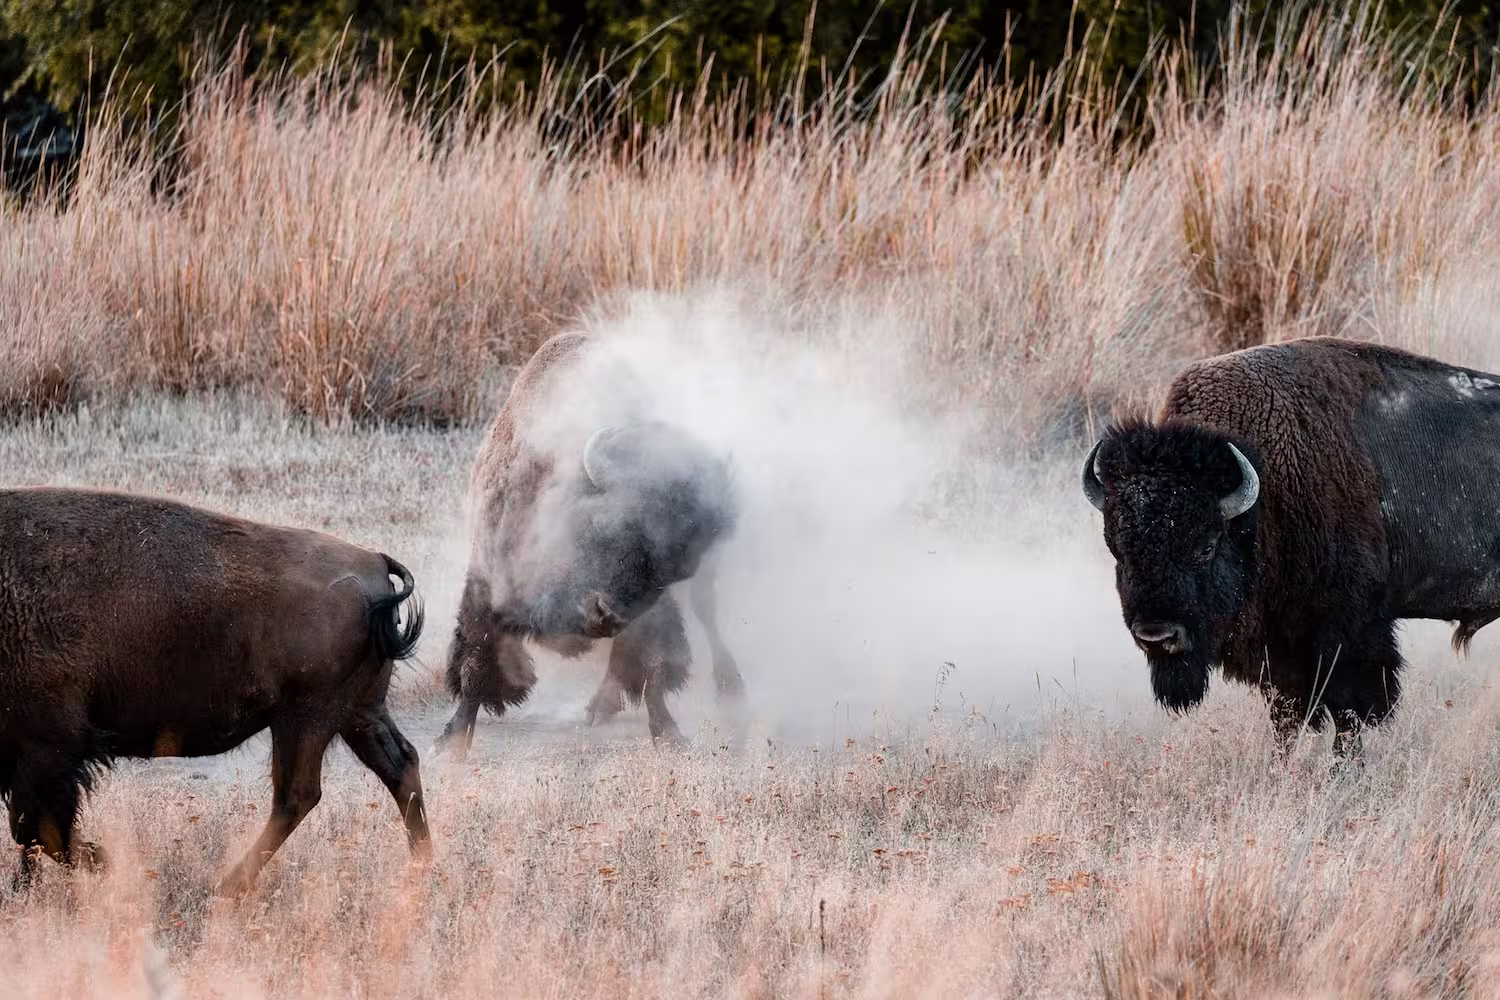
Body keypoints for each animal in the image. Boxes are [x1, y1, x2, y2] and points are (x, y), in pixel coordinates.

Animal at [0, 487, 429, 893]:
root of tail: (374, 562)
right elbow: (30, 831)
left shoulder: (50, 746)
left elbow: (38, 830)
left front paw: (110, 865)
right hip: (356, 712)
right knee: (398, 764)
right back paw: (423, 866)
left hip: (307, 716)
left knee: (298, 795)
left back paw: (226, 887)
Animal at [438, 332, 742, 752]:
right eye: (608, 526)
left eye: (671, 571)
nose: (607, 614)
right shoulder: (487, 575)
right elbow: (476, 659)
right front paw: (450, 743)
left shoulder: (654, 610)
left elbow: (651, 665)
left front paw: (668, 733)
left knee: (704, 613)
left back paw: (727, 684)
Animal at [1082, 336, 1500, 753]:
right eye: (1118, 551)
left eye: (1206, 547)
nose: (1157, 636)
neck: (1266, 487)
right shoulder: (1282, 651)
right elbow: (1287, 715)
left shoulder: (1348, 635)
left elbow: (1351, 714)